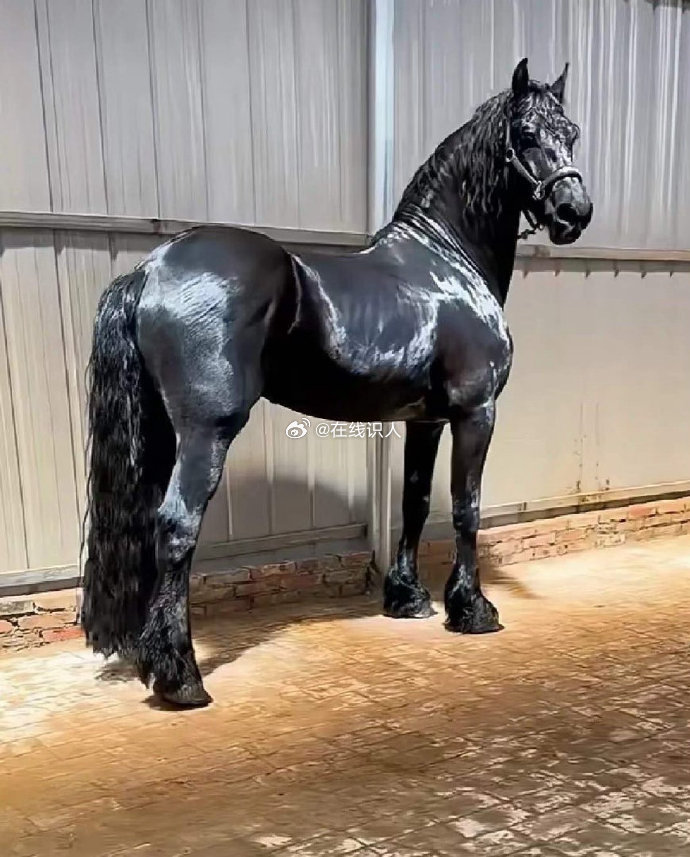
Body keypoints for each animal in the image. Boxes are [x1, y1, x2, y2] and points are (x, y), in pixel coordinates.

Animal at [81, 58, 592, 707]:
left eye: (571, 133)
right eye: (525, 136)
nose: (574, 212)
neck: (447, 260)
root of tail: (152, 269)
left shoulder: (425, 419)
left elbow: (415, 502)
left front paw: (408, 599)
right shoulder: (476, 412)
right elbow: (466, 507)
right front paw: (473, 610)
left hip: (160, 429)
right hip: (206, 431)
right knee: (176, 527)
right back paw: (182, 678)